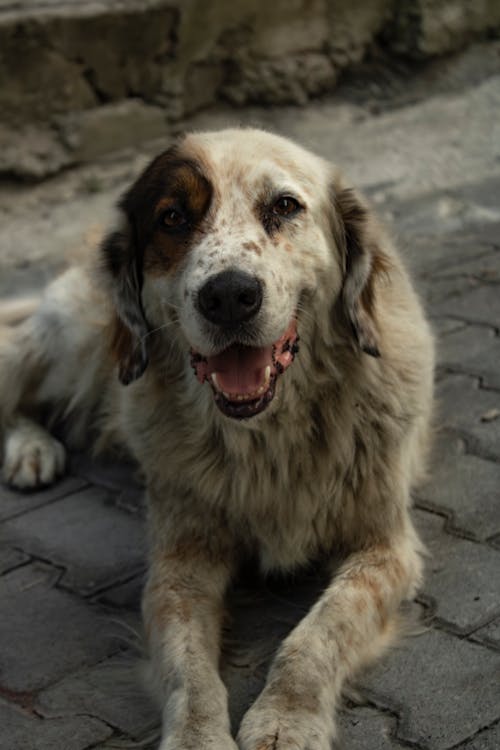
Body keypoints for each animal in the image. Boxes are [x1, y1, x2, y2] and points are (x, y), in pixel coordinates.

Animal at [0, 131, 434, 750]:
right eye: (173, 217)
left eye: (284, 206)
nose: (229, 296)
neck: (267, 440)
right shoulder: (179, 567)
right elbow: (189, 669)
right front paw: (197, 737)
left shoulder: (385, 551)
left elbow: (317, 633)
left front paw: (285, 718)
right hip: (67, 344)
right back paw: (30, 449)